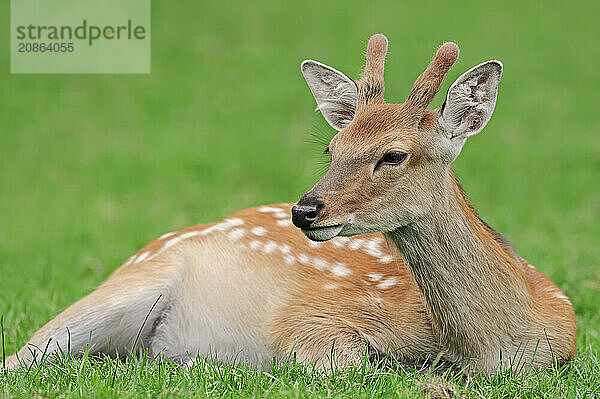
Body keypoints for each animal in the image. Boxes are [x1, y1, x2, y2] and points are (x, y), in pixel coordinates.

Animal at [4, 35, 576, 378]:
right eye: (332, 148)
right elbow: (349, 363)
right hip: (128, 284)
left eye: (393, 155)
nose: (305, 210)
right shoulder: (312, 320)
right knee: (21, 356)